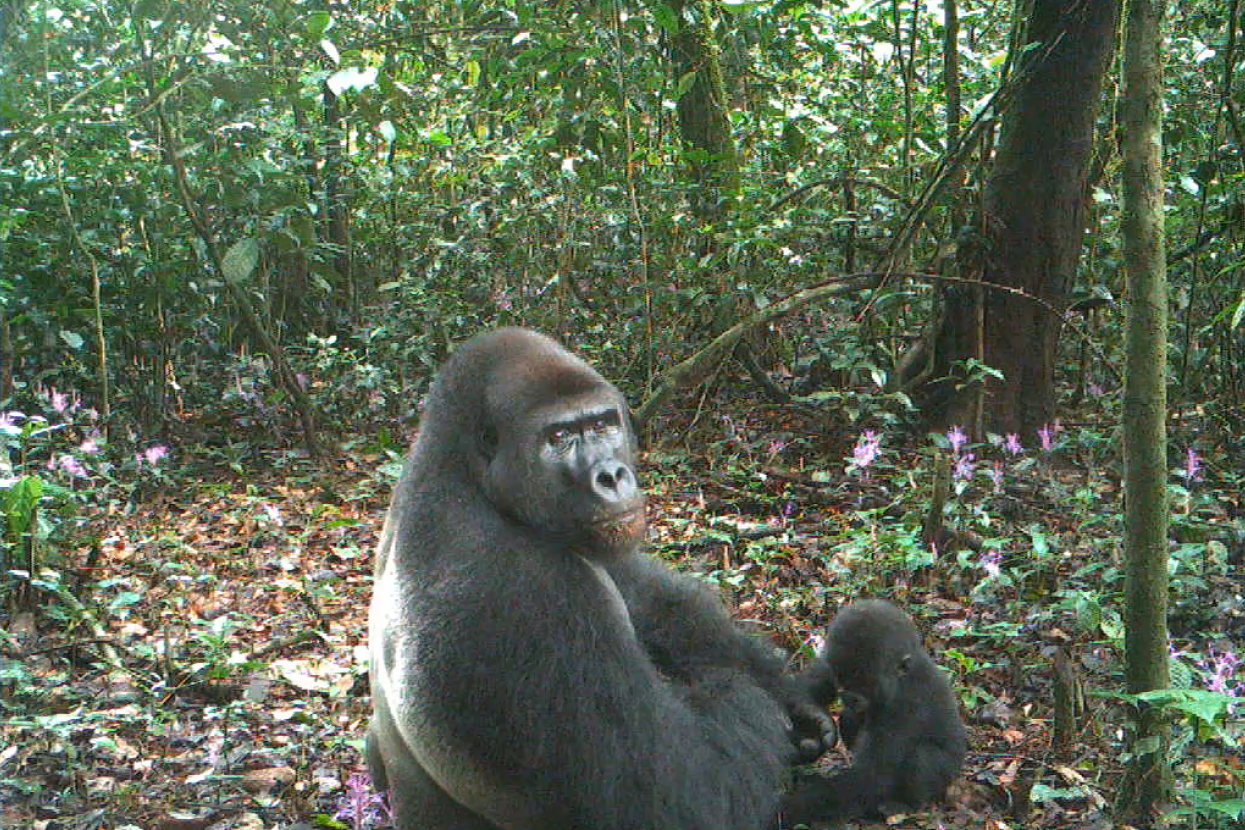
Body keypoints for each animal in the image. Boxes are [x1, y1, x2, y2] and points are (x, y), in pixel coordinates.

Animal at [367, 327, 833, 830]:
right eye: (558, 436)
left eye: (603, 424)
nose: (610, 475)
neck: (464, 477)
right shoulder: (526, 592)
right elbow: (684, 798)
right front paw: (747, 695)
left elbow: (652, 600)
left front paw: (793, 700)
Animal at [780, 599, 967, 824]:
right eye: (842, 678)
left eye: (865, 681)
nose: (849, 697)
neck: (903, 676)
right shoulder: (831, 658)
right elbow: (813, 682)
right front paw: (817, 719)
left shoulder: (906, 708)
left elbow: (869, 779)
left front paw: (786, 810)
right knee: (850, 718)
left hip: (949, 772)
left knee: (923, 756)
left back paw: (906, 804)